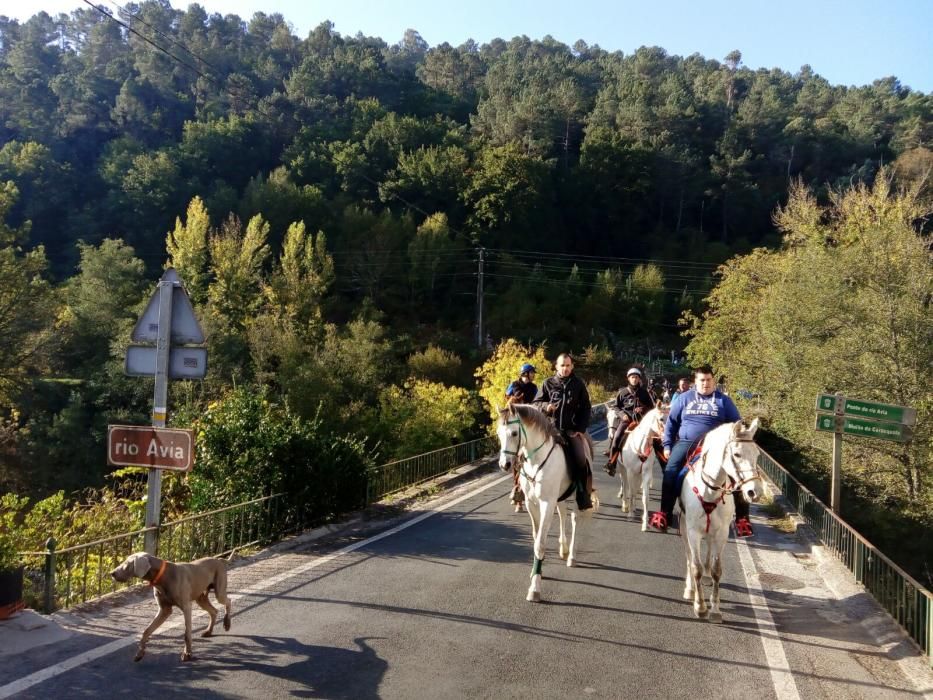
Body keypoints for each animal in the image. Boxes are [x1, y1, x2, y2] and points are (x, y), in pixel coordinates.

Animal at [496, 404, 596, 600]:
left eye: (514, 433)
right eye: (498, 433)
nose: (504, 464)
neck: (537, 461)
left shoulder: (546, 503)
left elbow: (540, 544)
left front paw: (535, 587)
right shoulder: (531, 504)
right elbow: (536, 538)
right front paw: (536, 572)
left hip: (575, 496)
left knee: (574, 519)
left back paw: (571, 556)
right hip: (560, 496)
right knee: (563, 514)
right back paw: (563, 548)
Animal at [616, 404, 668, 532]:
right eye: (661, 419)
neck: (641, 446)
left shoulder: (646, 474)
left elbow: (645, 497)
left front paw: (645, 523)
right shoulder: (630, 472)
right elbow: (631, 492)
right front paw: (630, 514)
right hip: (622, 469)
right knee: (625, 485)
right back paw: (625, 505)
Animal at [680, 418, 760, 620]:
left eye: (757, 454)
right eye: (737, 454)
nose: (754, 491)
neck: (709, 490)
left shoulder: (722, 532)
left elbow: (717, 569)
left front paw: (715, 609)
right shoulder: (692, 532)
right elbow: (696, 567)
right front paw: (700, 606)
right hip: (684, 527)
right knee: (689, 557)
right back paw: (690, 589)